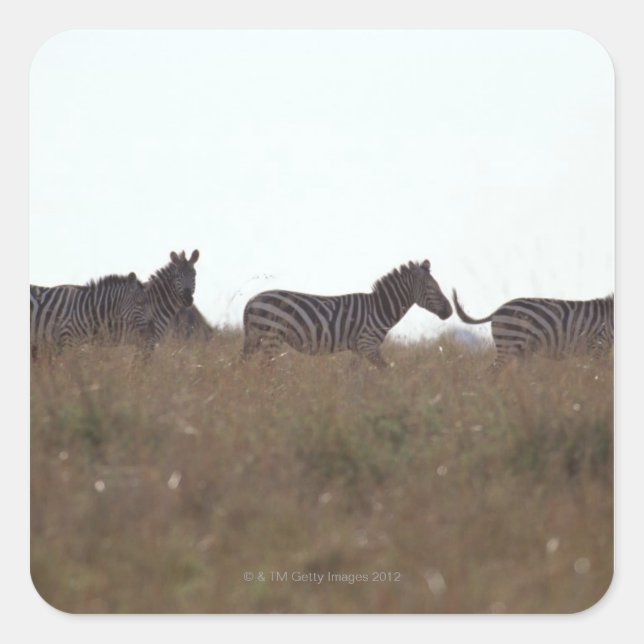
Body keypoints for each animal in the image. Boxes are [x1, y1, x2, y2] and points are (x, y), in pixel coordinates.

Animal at [242, 259, 452, 368]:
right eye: (432, 287)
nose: (450, 311)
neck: (380, 308)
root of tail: (251, 301)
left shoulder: (358, 349)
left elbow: (353, 376)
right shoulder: (368, 345)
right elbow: (387, 370)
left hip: (256, 338)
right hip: (272, 336)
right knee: (267, 369)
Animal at [451, 289, 614, 370]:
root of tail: (498, 309)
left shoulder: (604, 348)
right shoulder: (599, 344)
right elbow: (598, 373)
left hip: (522, 351)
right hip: (508, 344)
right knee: (492, 371)